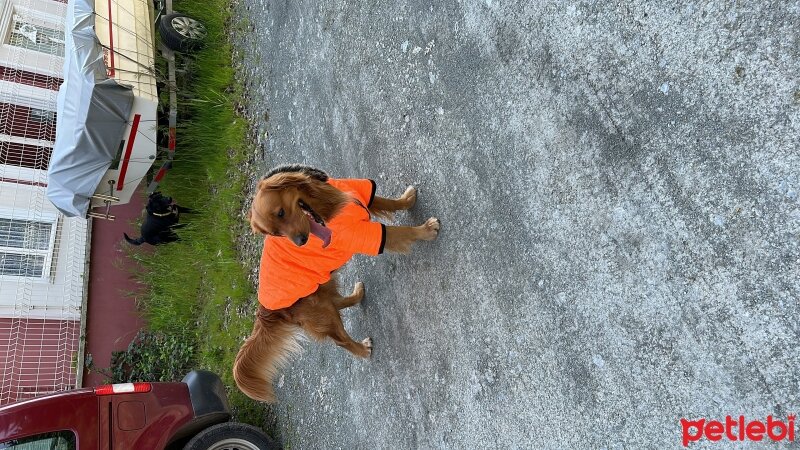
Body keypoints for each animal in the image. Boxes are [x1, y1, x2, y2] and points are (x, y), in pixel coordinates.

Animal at [234, 164, 440, 400]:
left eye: (281, 213)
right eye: (276, 233)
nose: (301, 242)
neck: (324, 201)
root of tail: (265, 310)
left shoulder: (360, 196)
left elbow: (388, 202)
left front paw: (407, 199)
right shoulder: (367, 235)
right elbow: (402, 231)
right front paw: (426, 230)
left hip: (323, 288)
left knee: (338, 302)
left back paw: (357, 294)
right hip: (321, 310)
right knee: (341, 339)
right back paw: (361, 349)